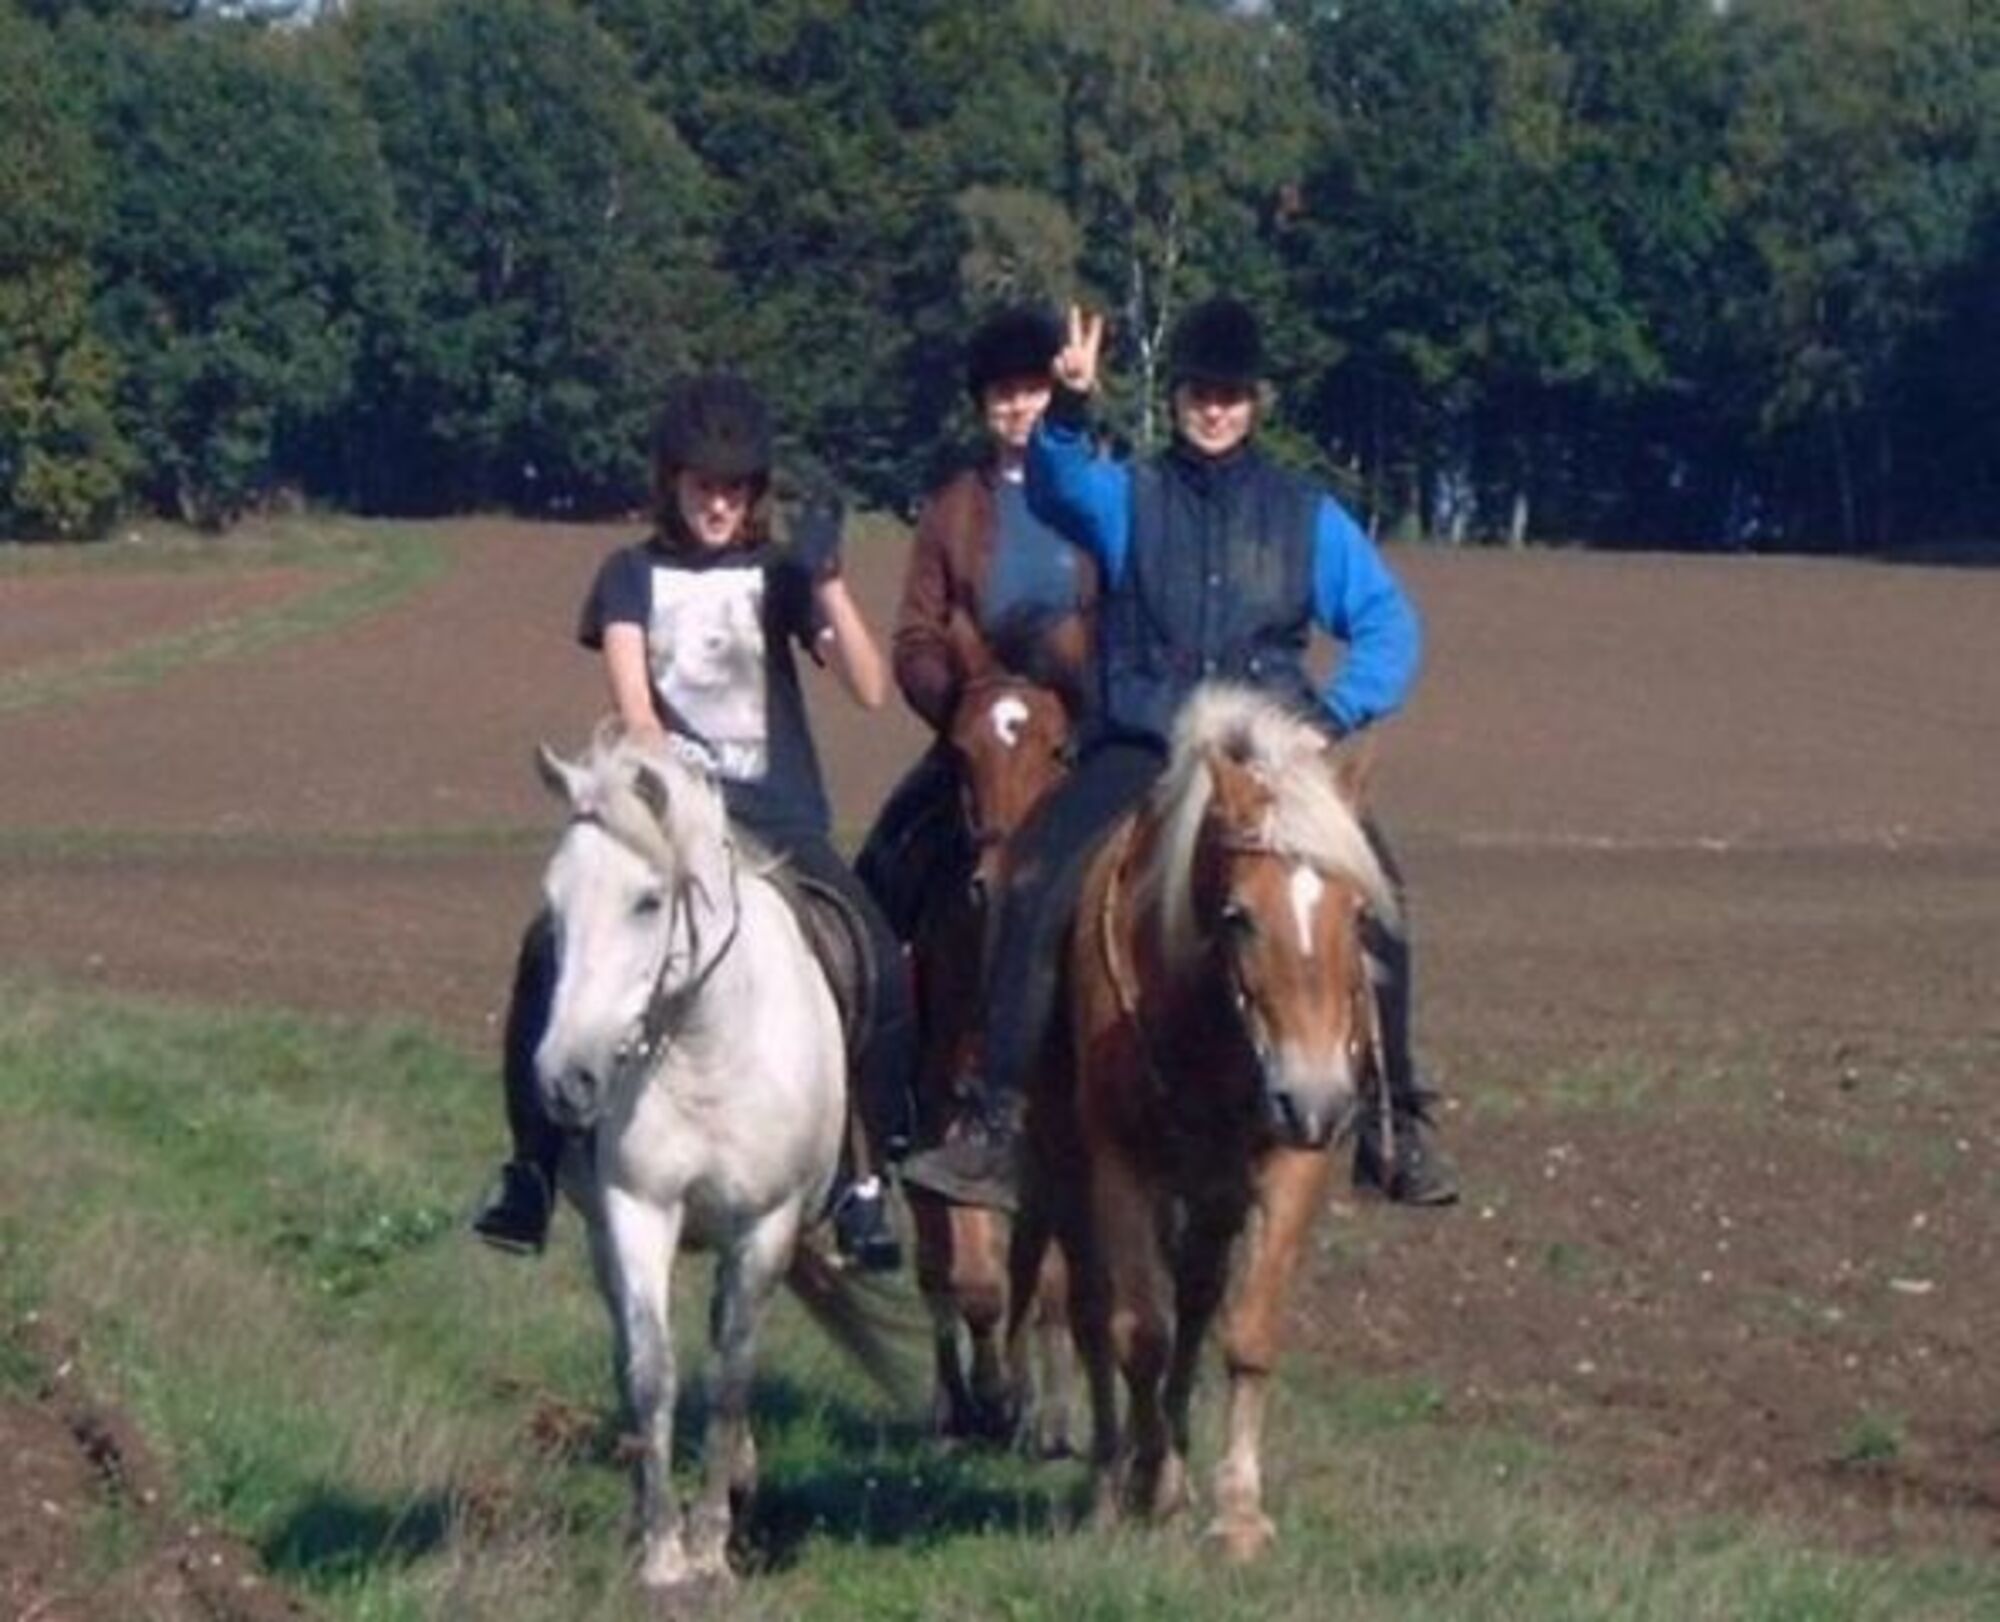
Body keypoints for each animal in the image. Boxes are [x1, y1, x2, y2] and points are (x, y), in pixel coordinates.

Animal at [531, 727, 902, 1592]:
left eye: (647, 900)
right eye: (555, 905)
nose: (565, 1080)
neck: (704, 1045)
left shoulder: (765, 1224)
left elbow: (729, 1377)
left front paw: (709, 1544)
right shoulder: (638, 1212)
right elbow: (652, 1371)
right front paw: (663, 1549)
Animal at [1007, 683, 1398, 1560]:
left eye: (1358, 914)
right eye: (1238, 914)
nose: (1316, 1098)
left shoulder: (1290, 1164)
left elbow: (1245, 1329)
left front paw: (1236, 1510)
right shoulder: (1120, 1167)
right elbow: (1137, 1334)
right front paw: (1144, 1482)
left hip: (1213, 1194)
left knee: (1193, 1300)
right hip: (1068, 1172)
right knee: (1090, 1310)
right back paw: (1111, 1479)